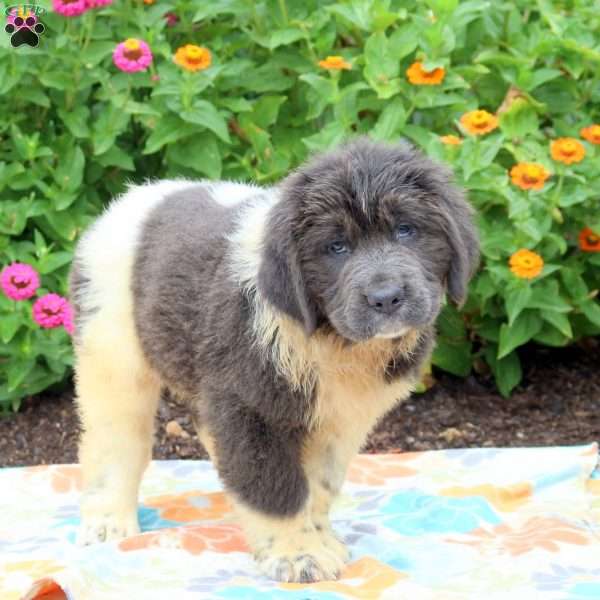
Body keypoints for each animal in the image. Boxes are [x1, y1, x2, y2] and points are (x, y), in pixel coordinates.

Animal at [70, 137, 480, 580]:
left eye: (406, 230)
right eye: (336, 247)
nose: (385, 298)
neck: (329, 337)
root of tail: (126, 202)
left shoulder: (336, 421)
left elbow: (318, 486)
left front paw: (320, 540)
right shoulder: (253, 410)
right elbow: (275, 488)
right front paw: (297, 555)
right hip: (113, 352)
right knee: (114, 443)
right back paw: (108, 522)